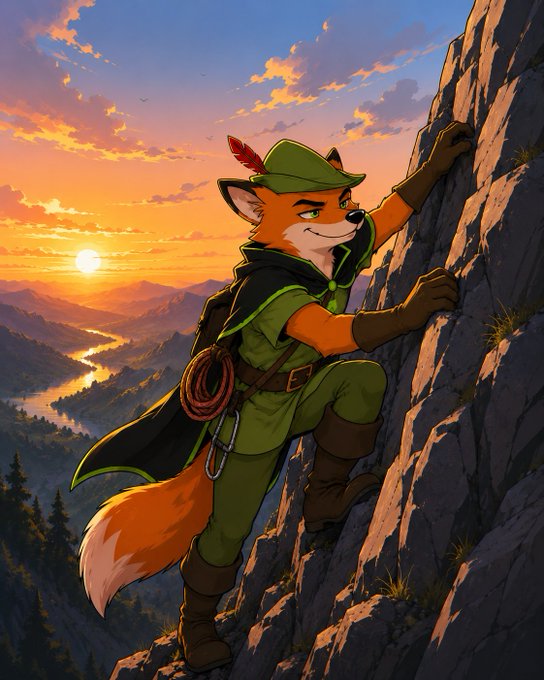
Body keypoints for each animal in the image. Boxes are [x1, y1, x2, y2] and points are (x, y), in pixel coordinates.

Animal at [76, 122, 472, 672]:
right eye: (309, 209)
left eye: (345, 198)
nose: (351, 213)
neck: (303, 263)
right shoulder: (274, 298)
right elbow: (332, 330)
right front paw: (418, 303)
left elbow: (381, 224)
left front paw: (441, 155)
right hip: (241, 461)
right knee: (219, 544)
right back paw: (200, 645)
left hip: (293, 419)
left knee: (360, 384)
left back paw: (328, 507)